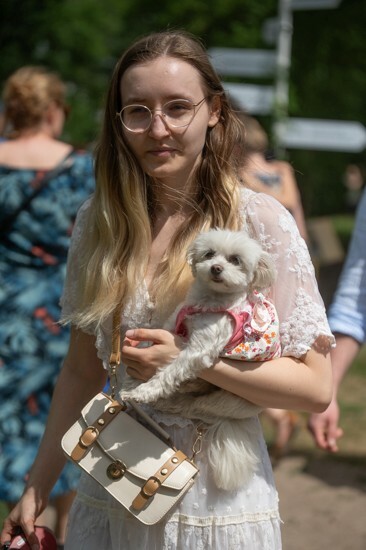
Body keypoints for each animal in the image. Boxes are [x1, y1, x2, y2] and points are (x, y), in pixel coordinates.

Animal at [122, 229, 280, 492]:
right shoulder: (173, 323)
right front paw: (134, 378)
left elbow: (168, 372)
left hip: (222, 400)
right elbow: (152, 342)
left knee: (189, 406)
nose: (216, 268)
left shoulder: (198, 349)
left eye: (235, 260)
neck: (207, 302)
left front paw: (144, 391)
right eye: (209, 254)